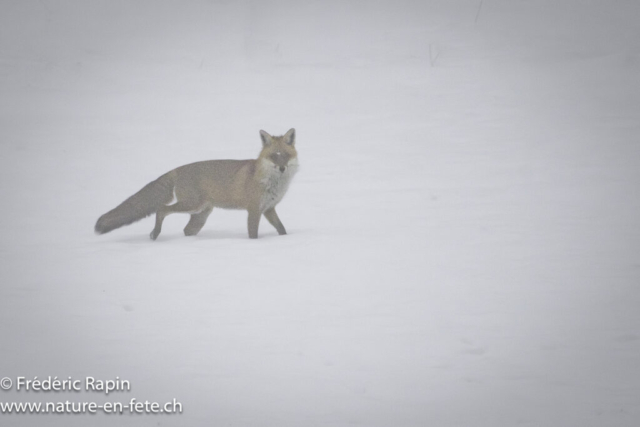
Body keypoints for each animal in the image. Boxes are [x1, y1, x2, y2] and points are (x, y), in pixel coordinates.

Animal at [95, 128, 298, 240]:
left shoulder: (269, 209)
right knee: (161, 209)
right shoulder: (254, 209)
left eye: (286, 155)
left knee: (186, 230)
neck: (272, 183)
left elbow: (282, 229)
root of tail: (177, 169)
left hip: (200, 213)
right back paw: (155, 234)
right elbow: (253, 234)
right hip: (193, 205)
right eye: (274, 156)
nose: (282, 168)